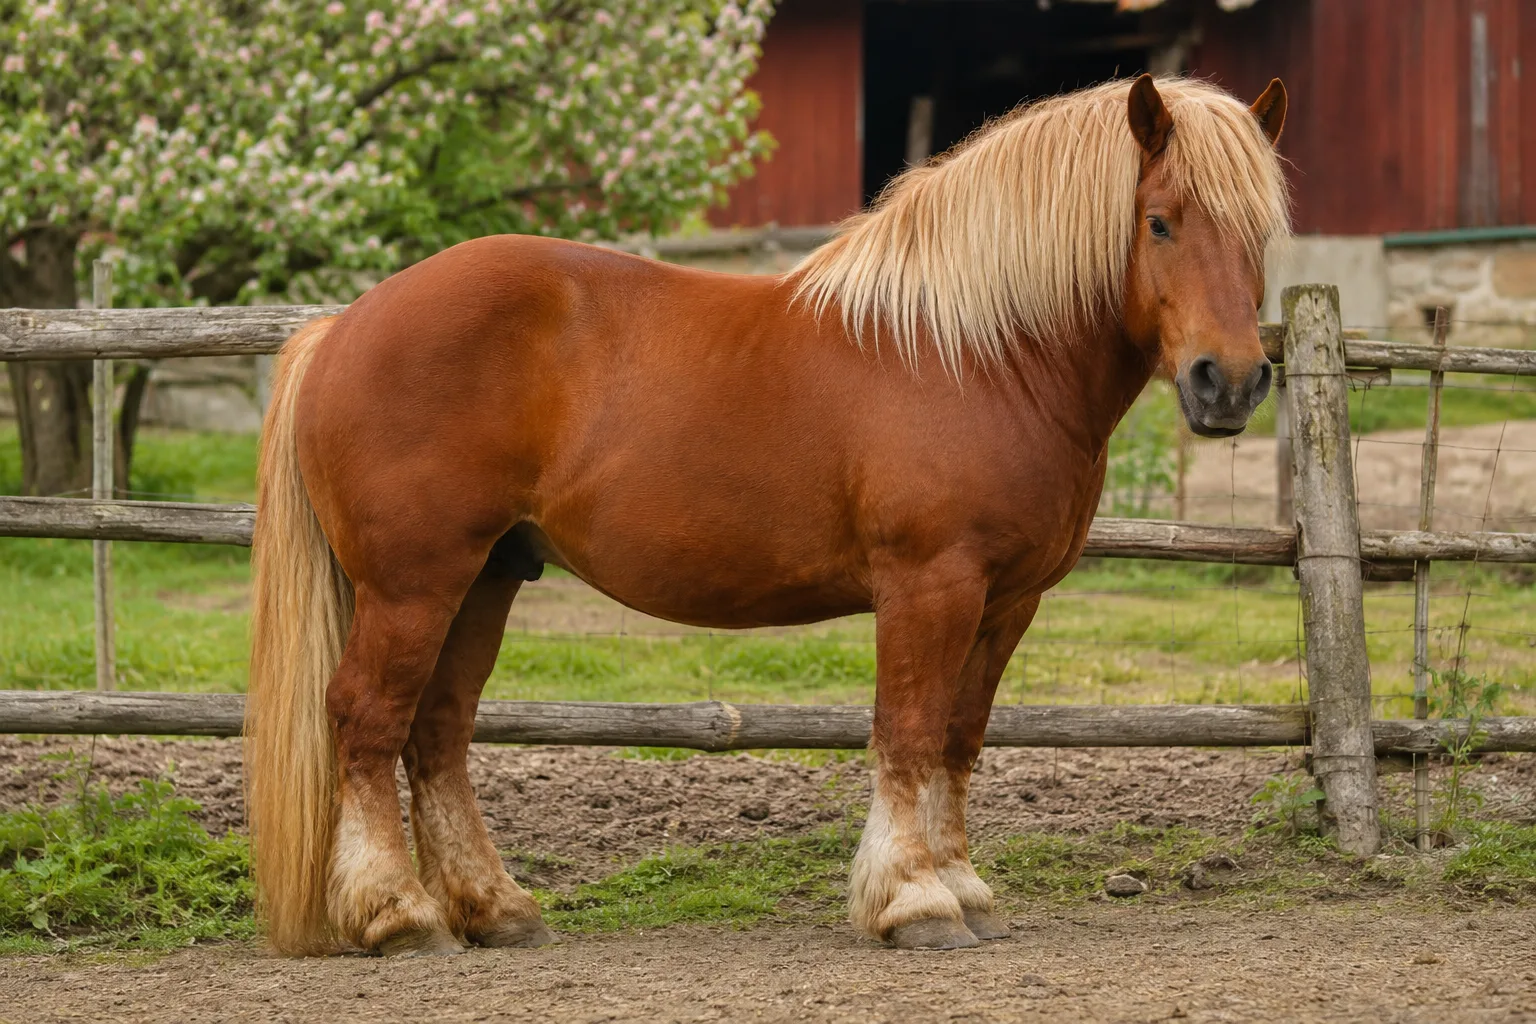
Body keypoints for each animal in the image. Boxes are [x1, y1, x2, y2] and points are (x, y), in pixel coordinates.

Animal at [244, 74, 1290, 956]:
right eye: (1159, 222)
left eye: (1262, 234)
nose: (1230, 383)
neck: (978, 352)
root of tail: (344, 325)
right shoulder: (931, 585)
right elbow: (907, 732)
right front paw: (914, 901)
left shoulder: (1007, 601)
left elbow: (958, 740)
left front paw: (964, 890)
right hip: (413, 583)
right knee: (367, 721)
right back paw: (398, 916)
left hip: (488, 575)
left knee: (438, 732)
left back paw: (495, 910)